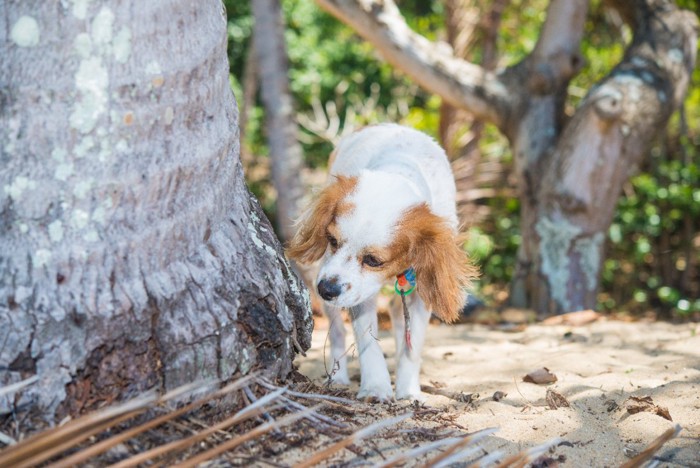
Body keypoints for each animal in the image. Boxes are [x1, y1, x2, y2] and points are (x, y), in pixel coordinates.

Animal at [288, 124, 476, 402]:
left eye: (373, 260)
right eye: (332, 240)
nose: (326, 290)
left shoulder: (421, 289)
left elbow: (412, 346)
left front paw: (409, 391)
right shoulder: (357, 292)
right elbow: (367, 340)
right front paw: (376, 387)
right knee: (337, 330)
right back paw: (338, 377)